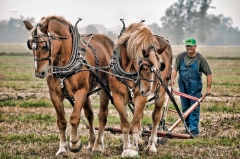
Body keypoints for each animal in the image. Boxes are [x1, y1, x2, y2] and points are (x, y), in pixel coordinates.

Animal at [23, 15, 115, 155]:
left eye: (45, 46)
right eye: (31, 47)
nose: (39, 73)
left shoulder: (81, 91)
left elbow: (74, 118)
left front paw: (75, 143)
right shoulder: (55, 95)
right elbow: (61, 121)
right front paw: (62, 148)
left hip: (104, 88)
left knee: (102, 116)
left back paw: (98, 146)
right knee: (89, 115)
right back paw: (91, 143)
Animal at [107, 22, 172, 157]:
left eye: (161, 66)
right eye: (144, 67)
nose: (146, 91)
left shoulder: (140, 97)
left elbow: (135, 124)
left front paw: (133, 149)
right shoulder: (117, 97)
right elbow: (125, 124)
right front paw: (127, 148)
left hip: (161, 94)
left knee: (156, 118)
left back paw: (151, 146)